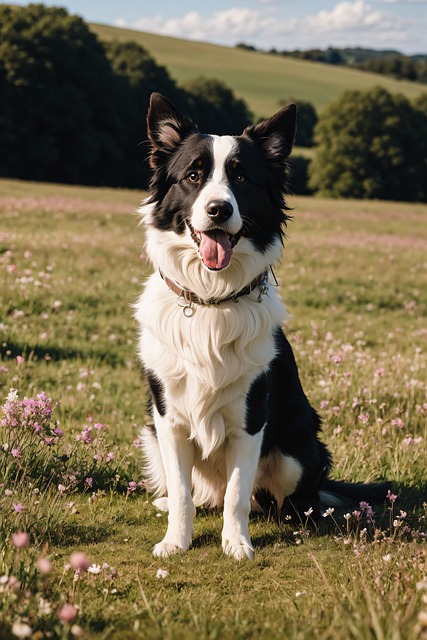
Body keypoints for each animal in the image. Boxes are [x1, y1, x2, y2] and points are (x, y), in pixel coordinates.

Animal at [135, 92, 390, 556]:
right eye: (193, 175)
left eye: (242, 178)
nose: (219, 209)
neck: (212, 300)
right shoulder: (168, 418)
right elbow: (182, 492)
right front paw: (176, 541)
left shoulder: (251, 417)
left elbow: (237, 492)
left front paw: (236, 544)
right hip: (150, 434)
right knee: (200, 494)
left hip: (297, 449)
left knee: (280, 500)